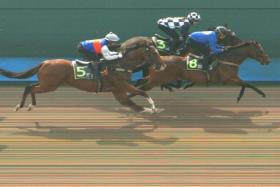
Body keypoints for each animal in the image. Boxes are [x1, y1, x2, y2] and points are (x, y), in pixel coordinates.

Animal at [0, 36, 164, 112]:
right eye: (154, 53)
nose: (162, 66)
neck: (121, 64)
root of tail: (44, 62)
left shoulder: (118, 91)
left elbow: (133, 104)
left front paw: (151, 110)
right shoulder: (122, 85)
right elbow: (142, 92)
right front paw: (153, 106)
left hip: (47, 83)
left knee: (30, 86)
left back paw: (28, 105)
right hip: (50, 85)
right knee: (31, 88)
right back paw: (21, 106)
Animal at [130, 40, 272, 103]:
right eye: (260, 50)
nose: (268, 60)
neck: (228, 58)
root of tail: (157, 59)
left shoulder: (233, 78)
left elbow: (244, 84)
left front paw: (239, 97)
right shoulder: (228, 79)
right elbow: (247, 84)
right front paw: (262, 93)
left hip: (155, 78)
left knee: (140, 81)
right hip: (157, 80)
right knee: (141, 87)